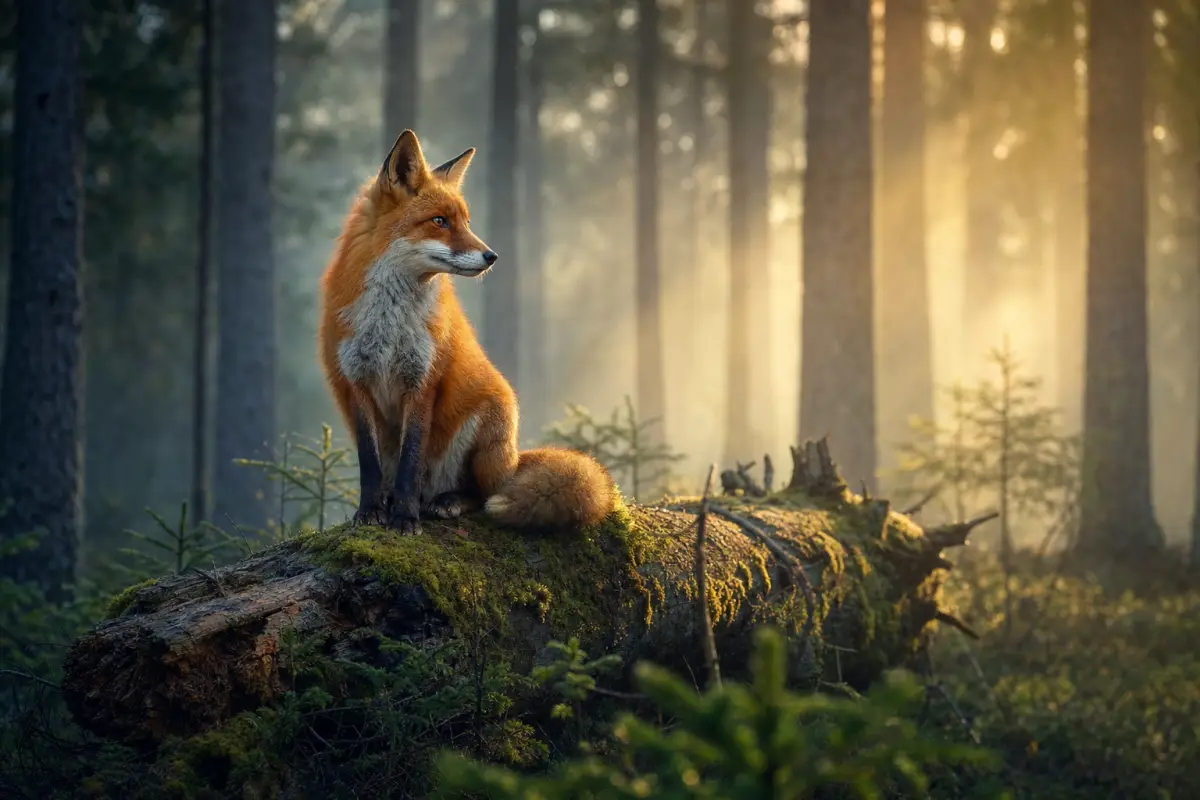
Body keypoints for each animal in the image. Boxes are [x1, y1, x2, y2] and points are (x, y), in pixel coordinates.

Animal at [318, 129, 617, 534]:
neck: (389, 321)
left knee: (482, 493)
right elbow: (370, 465)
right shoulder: (355, 380)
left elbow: (411, 462)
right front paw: (370, 511)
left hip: (489, 419)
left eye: (466, 221)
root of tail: (513, 459)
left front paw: (405, 518)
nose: (492, 256)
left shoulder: (423, 379)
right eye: (440, 221)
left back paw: (447, 501)